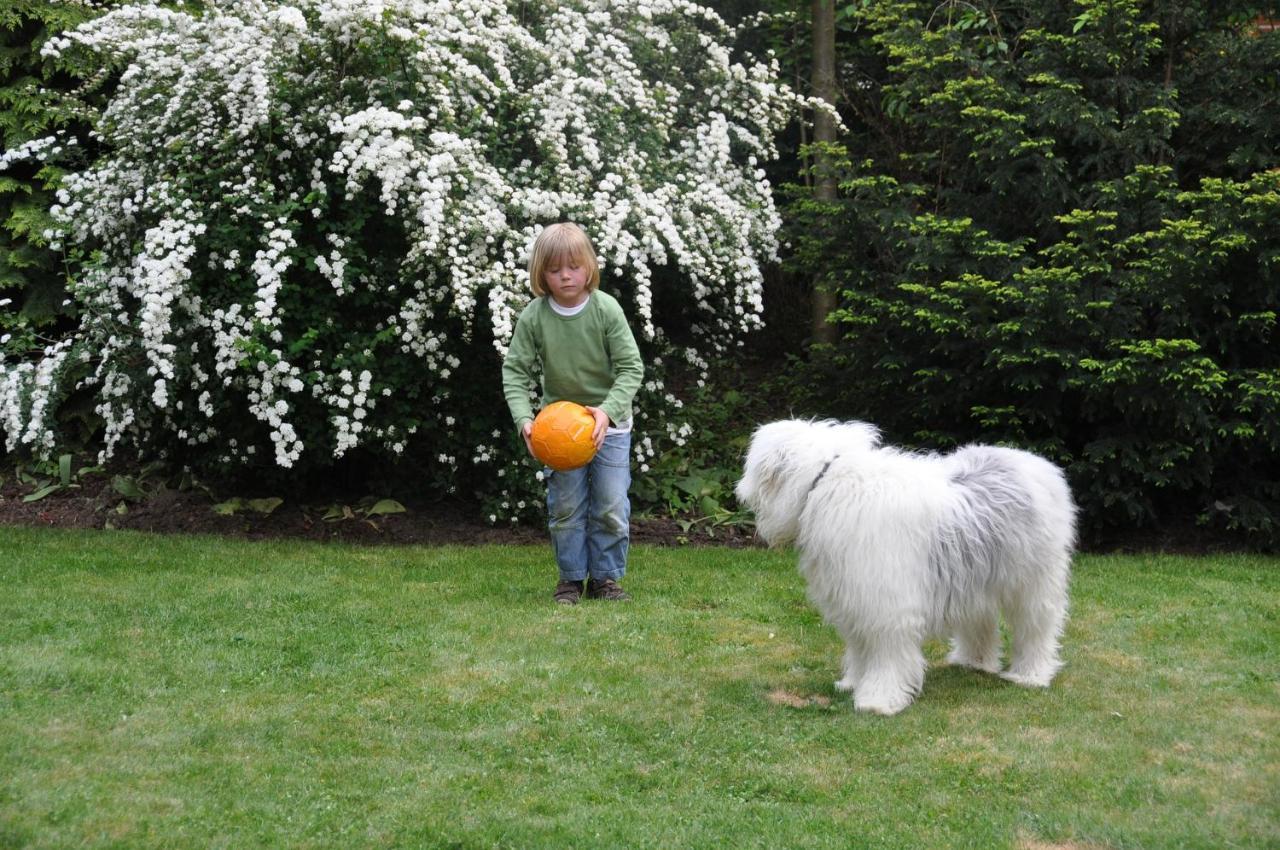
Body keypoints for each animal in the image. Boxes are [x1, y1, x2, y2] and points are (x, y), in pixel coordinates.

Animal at [737, 422, 1075, 711]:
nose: (739, 491)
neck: (824, 480)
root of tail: (1036, 463)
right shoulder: (855, 603)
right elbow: (860, 650)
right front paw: (853, 682)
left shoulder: (887, 608)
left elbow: (886, 656)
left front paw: (878, 699)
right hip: (974, 577)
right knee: (980, 620)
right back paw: (973, 661)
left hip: (1033, 580)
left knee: (1036, 627)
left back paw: (1031, 675)